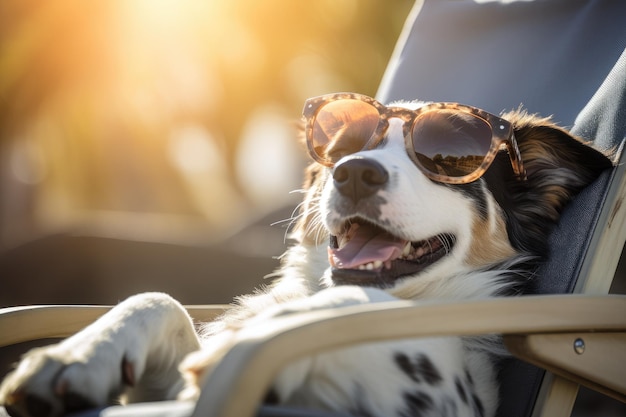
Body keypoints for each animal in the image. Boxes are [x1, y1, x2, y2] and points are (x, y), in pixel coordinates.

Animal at [0, 94, 608, 416]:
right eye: (344, 146)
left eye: (448, 158)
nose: (354, 172)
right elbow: (156, 298)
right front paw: (80, 355)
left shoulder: (454, 399)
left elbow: (361, 306)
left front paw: (248, 341)